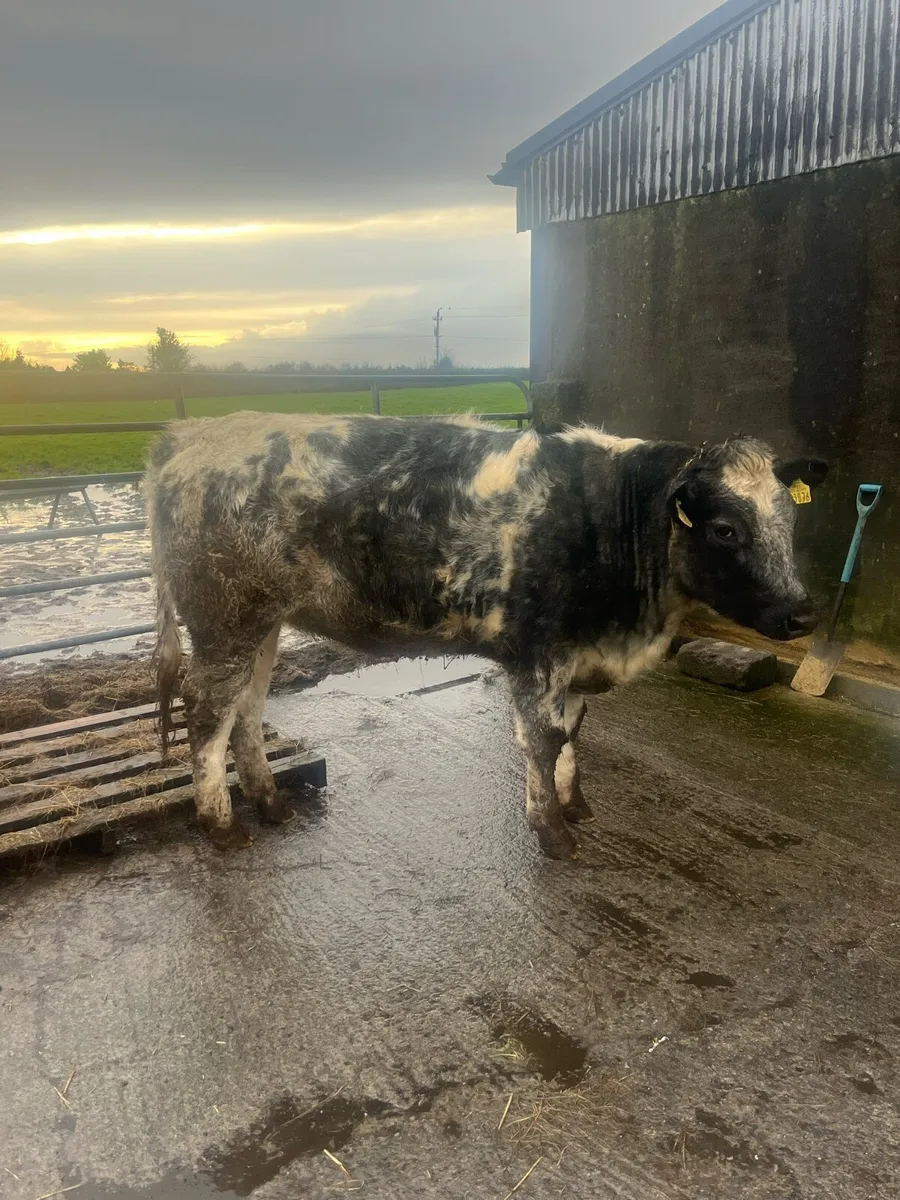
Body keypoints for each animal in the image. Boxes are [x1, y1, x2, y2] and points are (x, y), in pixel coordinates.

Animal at [145, 411, 827, 859]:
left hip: (261, 624)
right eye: (725, 529)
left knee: (245, 710)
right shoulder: (539, 652)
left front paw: (574, 805)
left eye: (790, 520)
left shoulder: (574, 655)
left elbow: (572, 733)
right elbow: (543, 741)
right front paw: (552, 832)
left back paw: (271, 803)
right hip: (226, 620)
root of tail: (188, 435)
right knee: (207, 714)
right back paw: (223, 827)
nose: (802, 616)